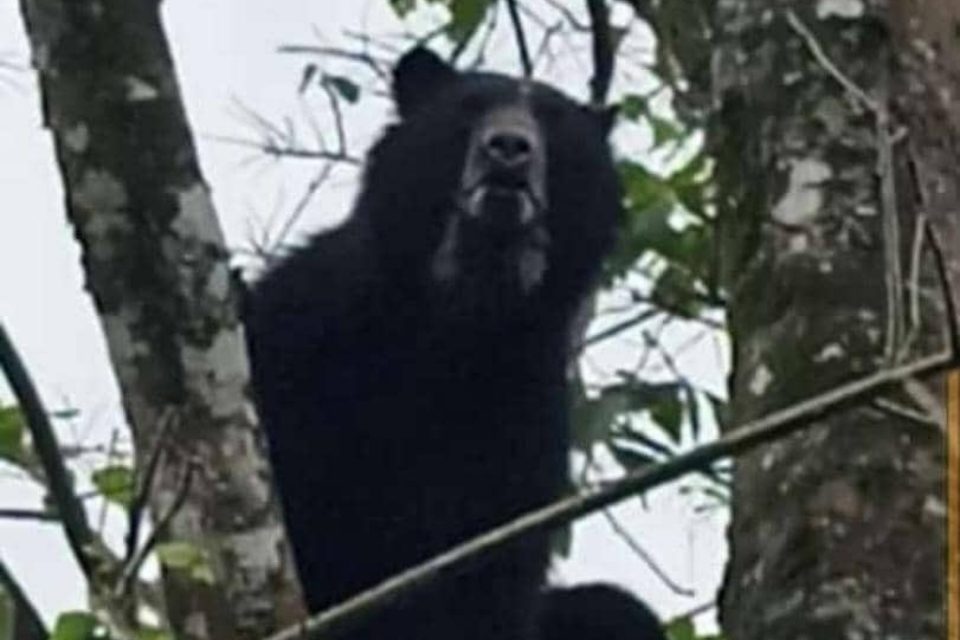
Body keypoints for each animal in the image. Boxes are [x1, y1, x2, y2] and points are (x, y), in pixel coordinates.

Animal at [245, 46, 654, 640]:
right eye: (470, 107)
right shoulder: (300, 330)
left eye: (554, 124)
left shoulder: (524, 425)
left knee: (615, 609)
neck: (457, 320)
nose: (509, 149)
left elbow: (486, 579)